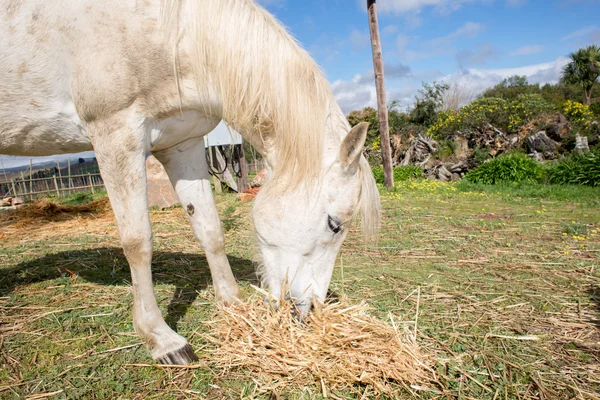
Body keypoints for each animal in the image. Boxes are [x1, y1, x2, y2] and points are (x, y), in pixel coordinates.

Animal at [1, 0, 380, 364]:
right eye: (333, 224)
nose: (308, 312)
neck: (165, 31)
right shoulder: (116, 134)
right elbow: (138, 242)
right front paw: (162, 339)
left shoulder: (182, 143)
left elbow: (210, 228)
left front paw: (232, 303)